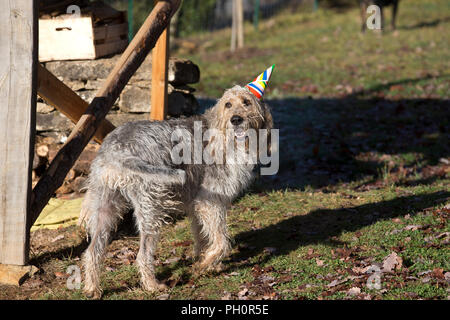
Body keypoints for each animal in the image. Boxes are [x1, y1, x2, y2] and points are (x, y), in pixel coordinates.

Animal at [79, 85, 272, 298]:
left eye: (247, 102)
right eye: (228, 104)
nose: (236, 119)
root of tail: (116, 148)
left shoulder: (196, 206)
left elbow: (202, 237)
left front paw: (208, 263)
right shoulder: (209, 202)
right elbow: (221, 242)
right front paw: (204, 265)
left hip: (104, 210)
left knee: (92, 251)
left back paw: (92, 288)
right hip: (151, 209)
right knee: (142, 255)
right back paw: (152, 286)